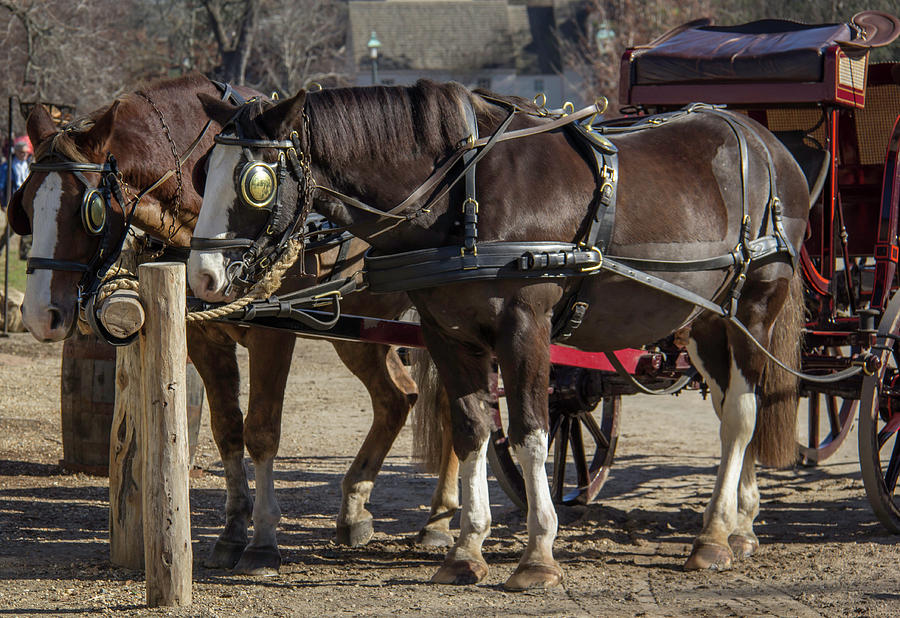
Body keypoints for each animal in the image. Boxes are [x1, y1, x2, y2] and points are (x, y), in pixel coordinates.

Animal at [3, 74, 460, 576]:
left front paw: (262, 542)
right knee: (397, 398)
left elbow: (261, 430)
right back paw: (355, 510)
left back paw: (439, 520)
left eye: (89, 209)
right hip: (358, 330)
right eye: (26, 204)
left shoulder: (273, 333)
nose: (40, 314)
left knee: (450, 404)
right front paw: (233, 532)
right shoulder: (204, 338)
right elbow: (227, 429)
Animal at [192, 82, 808, 588]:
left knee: (741, 414)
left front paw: (537, 555)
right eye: (203, 173)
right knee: (732, 405)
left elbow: (530, 432)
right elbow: (471, 430)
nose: (202, 276)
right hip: (705, 320)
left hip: (753, 308)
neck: (462, 194)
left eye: (255, 182)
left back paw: (715, 535)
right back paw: (742, 522)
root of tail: (766, 141)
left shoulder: (525, 327)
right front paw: (465, 550)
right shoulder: (447, 334)